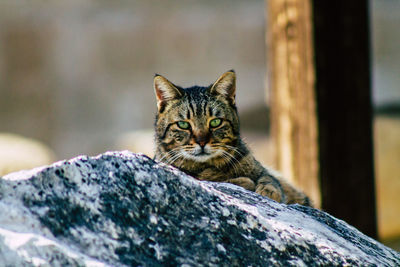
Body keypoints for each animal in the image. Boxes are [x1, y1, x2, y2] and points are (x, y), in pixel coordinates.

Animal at [153, 70, 312, 206]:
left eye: (215, 122)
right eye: (183, 124)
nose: (202, 142)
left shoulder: (263, 171)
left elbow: (270, 180)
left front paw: (269, 191)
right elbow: (227, 181)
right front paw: (243, 181)